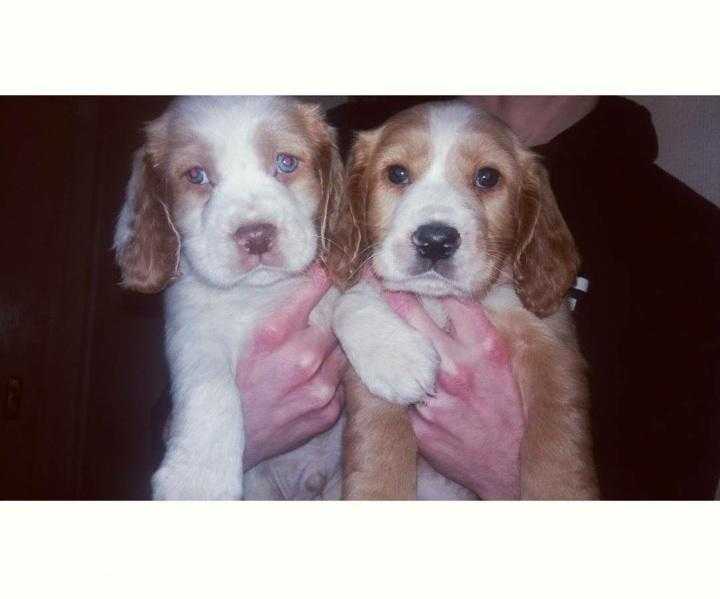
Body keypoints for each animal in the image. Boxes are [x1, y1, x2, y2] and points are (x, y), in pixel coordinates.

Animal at [115, 97, 346, 502]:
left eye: (286, 162)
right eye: (196, 176)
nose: (255, 236)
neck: (260, 293)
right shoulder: (191, 329)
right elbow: (209, 386)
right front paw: (196, 480)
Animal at [332, 101, 596, 500]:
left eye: (487, 177)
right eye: (397, 173)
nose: (435, 241)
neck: (439, 303)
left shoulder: (551, 343)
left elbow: (555, 441)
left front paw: (557, 489)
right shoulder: (371, 383)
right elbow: (380, 442)